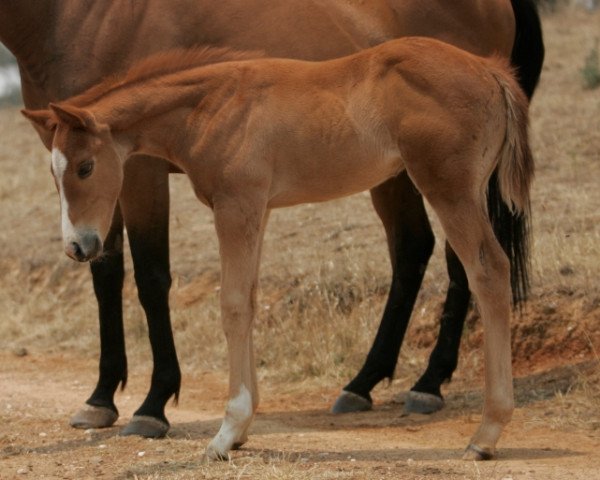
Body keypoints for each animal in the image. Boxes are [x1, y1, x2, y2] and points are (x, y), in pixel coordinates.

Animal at [0, 0, 544, 436]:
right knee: (426, 253)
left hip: (449, 189)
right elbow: (239, 299)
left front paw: (177, 415)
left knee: (480, 267)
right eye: (53, 170)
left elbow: (199, 294)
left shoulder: (204, 195)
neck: (213, 103)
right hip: (422, 183)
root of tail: (491, 71)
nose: (76, 246)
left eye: (87, 167)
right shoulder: (252, 209)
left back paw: (455, 406)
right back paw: (369, 385)